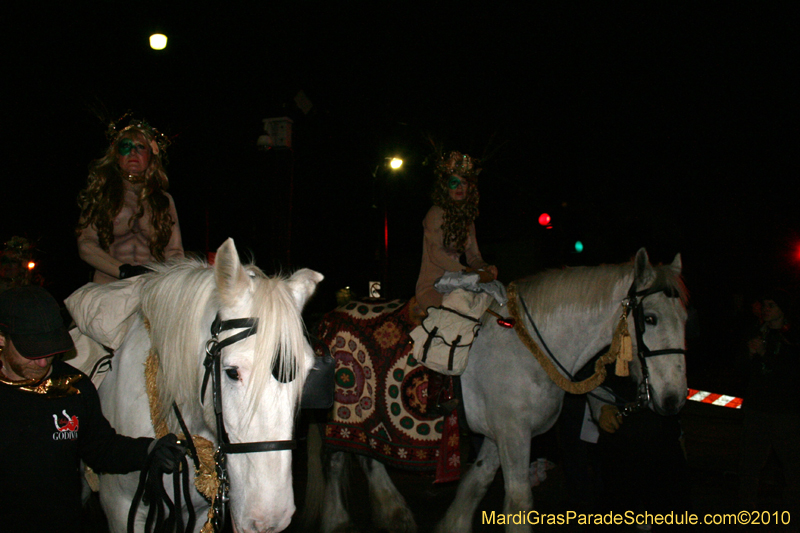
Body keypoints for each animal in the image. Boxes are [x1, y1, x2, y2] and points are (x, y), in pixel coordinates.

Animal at [306, 247, 688, 528]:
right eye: (650, 318)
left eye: (685, 319)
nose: (673, 400)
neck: (529, 348)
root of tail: (328, 318)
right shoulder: (514, 434)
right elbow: (518, 503)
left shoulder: (498, 435)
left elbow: (475, 487)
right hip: (344, 413)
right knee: (337, 459)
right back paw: (342, 521)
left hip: (369, 417)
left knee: (367, 457)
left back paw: (394, 515)